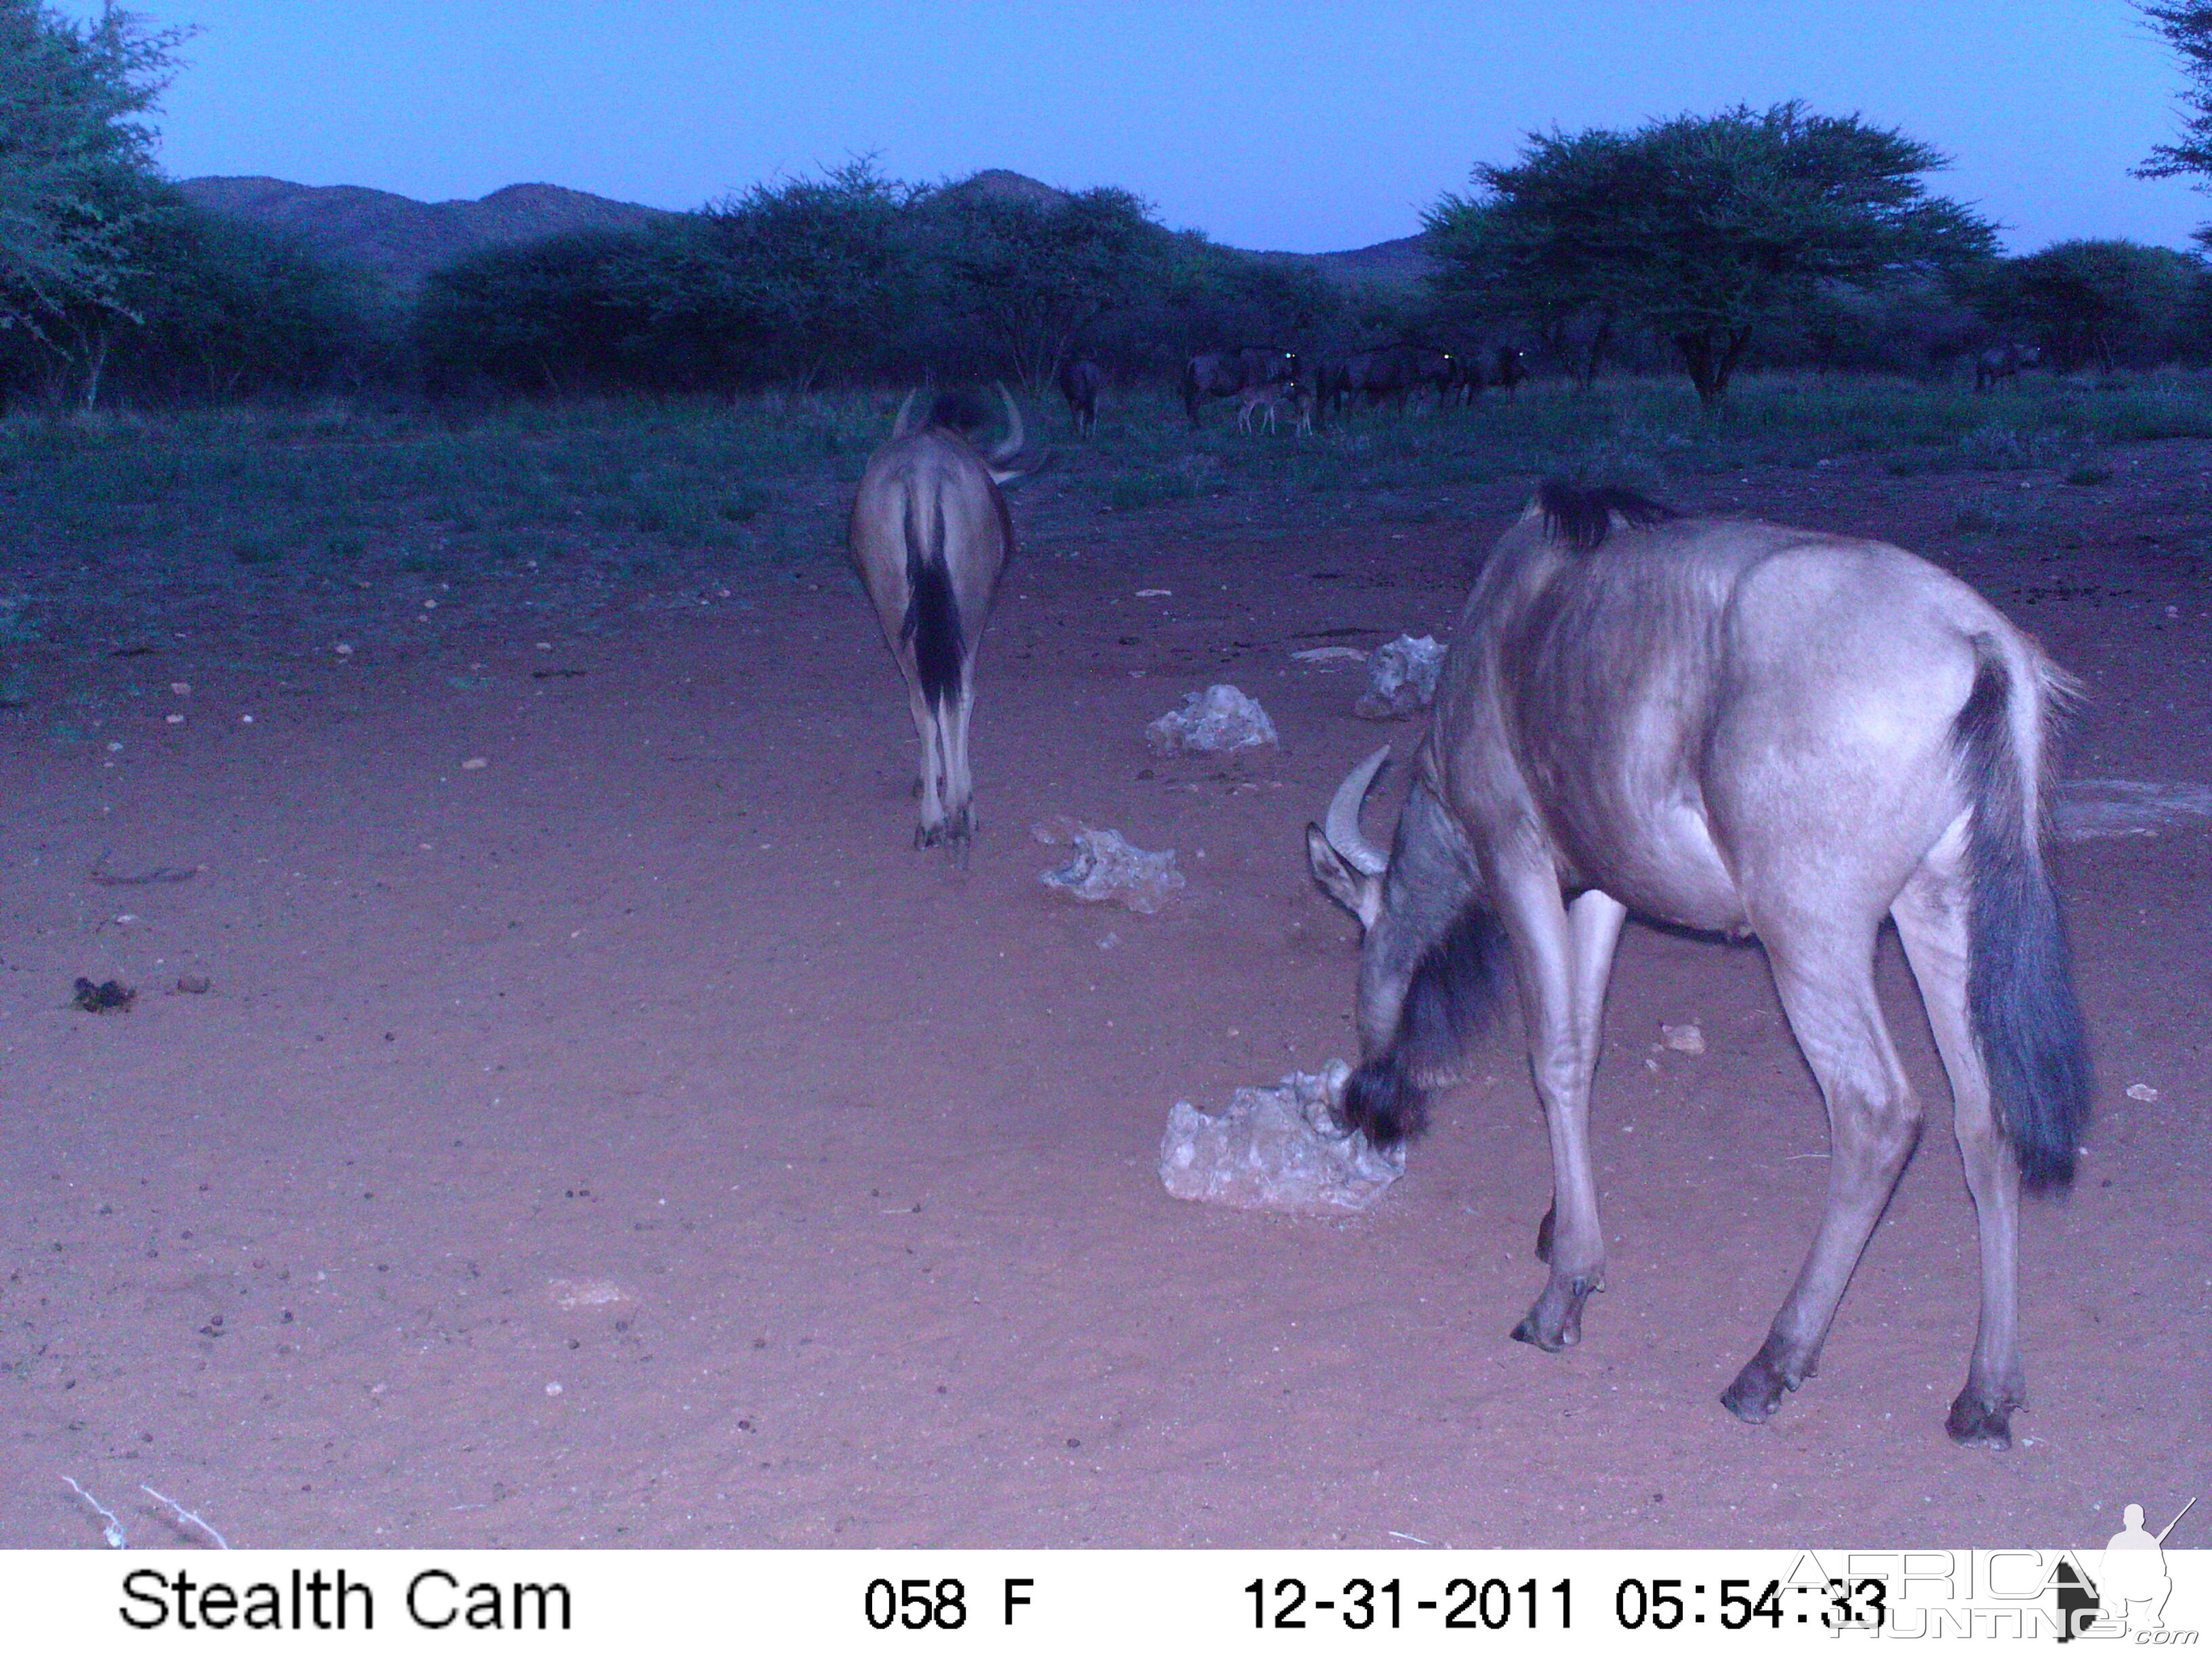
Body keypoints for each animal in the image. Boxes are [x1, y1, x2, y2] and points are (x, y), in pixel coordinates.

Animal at [849, 389, 1031, 849]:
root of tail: (923, 476)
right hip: (965, 608)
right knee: (953, 694)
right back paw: (956, 810)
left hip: (897, 609)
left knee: (924, 696)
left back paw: (936, 814)